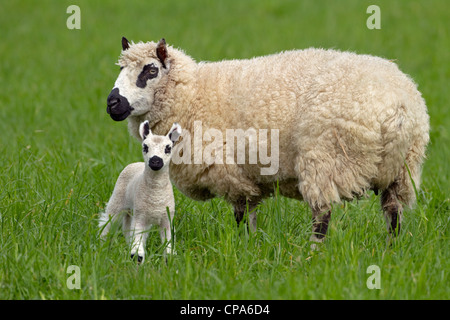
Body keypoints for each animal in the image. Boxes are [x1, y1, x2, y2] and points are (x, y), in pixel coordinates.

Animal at [99, 120, 182, 262]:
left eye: (168, 148)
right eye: (145, 147)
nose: (155, 161)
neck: (156, 196)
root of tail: (136, 163)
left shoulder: (167, 218)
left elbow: (168, 245)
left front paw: (169, 262)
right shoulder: (140, 217)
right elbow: (137, 251)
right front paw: (137, 260)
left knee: (128, 230)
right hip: (118, 200)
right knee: (108, 223)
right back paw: (101, 246)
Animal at [104, 38, 428, 248]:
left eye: (150, 71)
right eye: (120, 70)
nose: (112, 103)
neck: (193, 94)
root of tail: (399, 107)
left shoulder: (231, 175)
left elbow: (241, 215)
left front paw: (242, 247)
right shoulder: (245, 177)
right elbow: (250, 214)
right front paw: (251, 247)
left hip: (326, 159)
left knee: (322, 215)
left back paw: (312, 255)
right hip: (401, 171)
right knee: (393, 213)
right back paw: (390, 251)